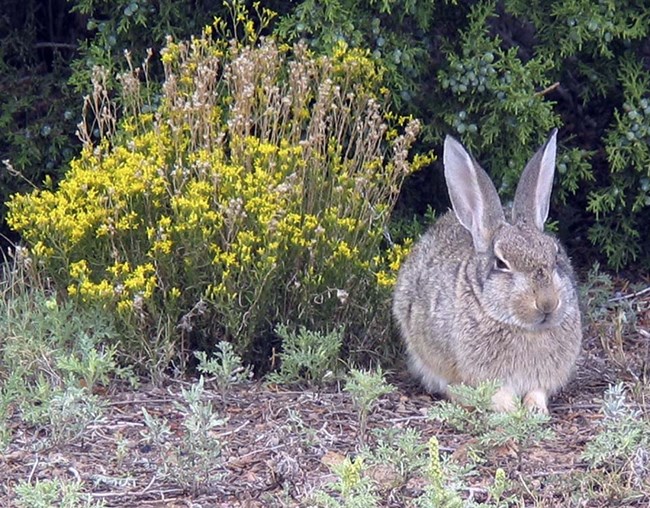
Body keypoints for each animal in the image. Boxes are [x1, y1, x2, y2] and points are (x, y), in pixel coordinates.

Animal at [392, 129, 582, 414]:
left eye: (555, 254)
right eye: (501, 263)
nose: (547, 302)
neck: (522, 328)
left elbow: (538, 391)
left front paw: (535, 409)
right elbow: (496, 395)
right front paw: (511, 410)